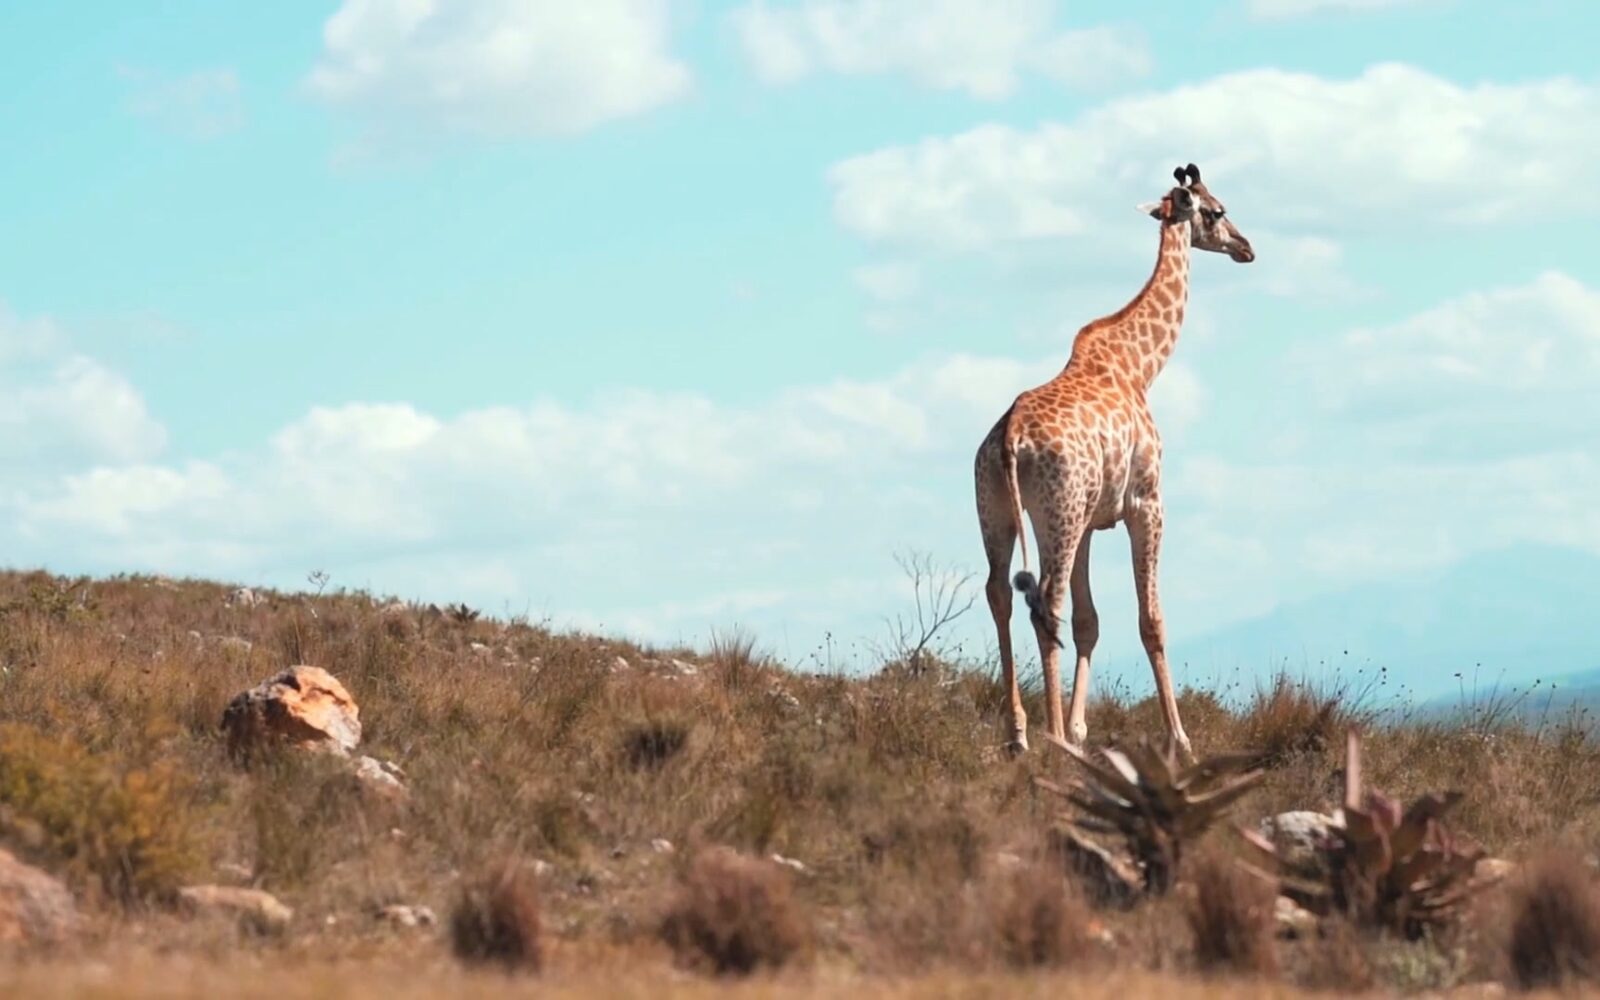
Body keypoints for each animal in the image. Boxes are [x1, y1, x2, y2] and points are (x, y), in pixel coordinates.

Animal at [973, 162, 1254, 759]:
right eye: (1216, 209)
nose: (1246, 247)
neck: (1139, 366)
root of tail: (1009, 439)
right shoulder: (1146, 503)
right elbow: (1151, 620)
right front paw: (1180, 741)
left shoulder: (1090, 520)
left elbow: (1090, 621)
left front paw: (1082, 730)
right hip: (1057, 511)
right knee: (1045, 600)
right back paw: (1052, 737)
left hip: (1002, 511)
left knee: (1000, 593)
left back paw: (1021, 734)